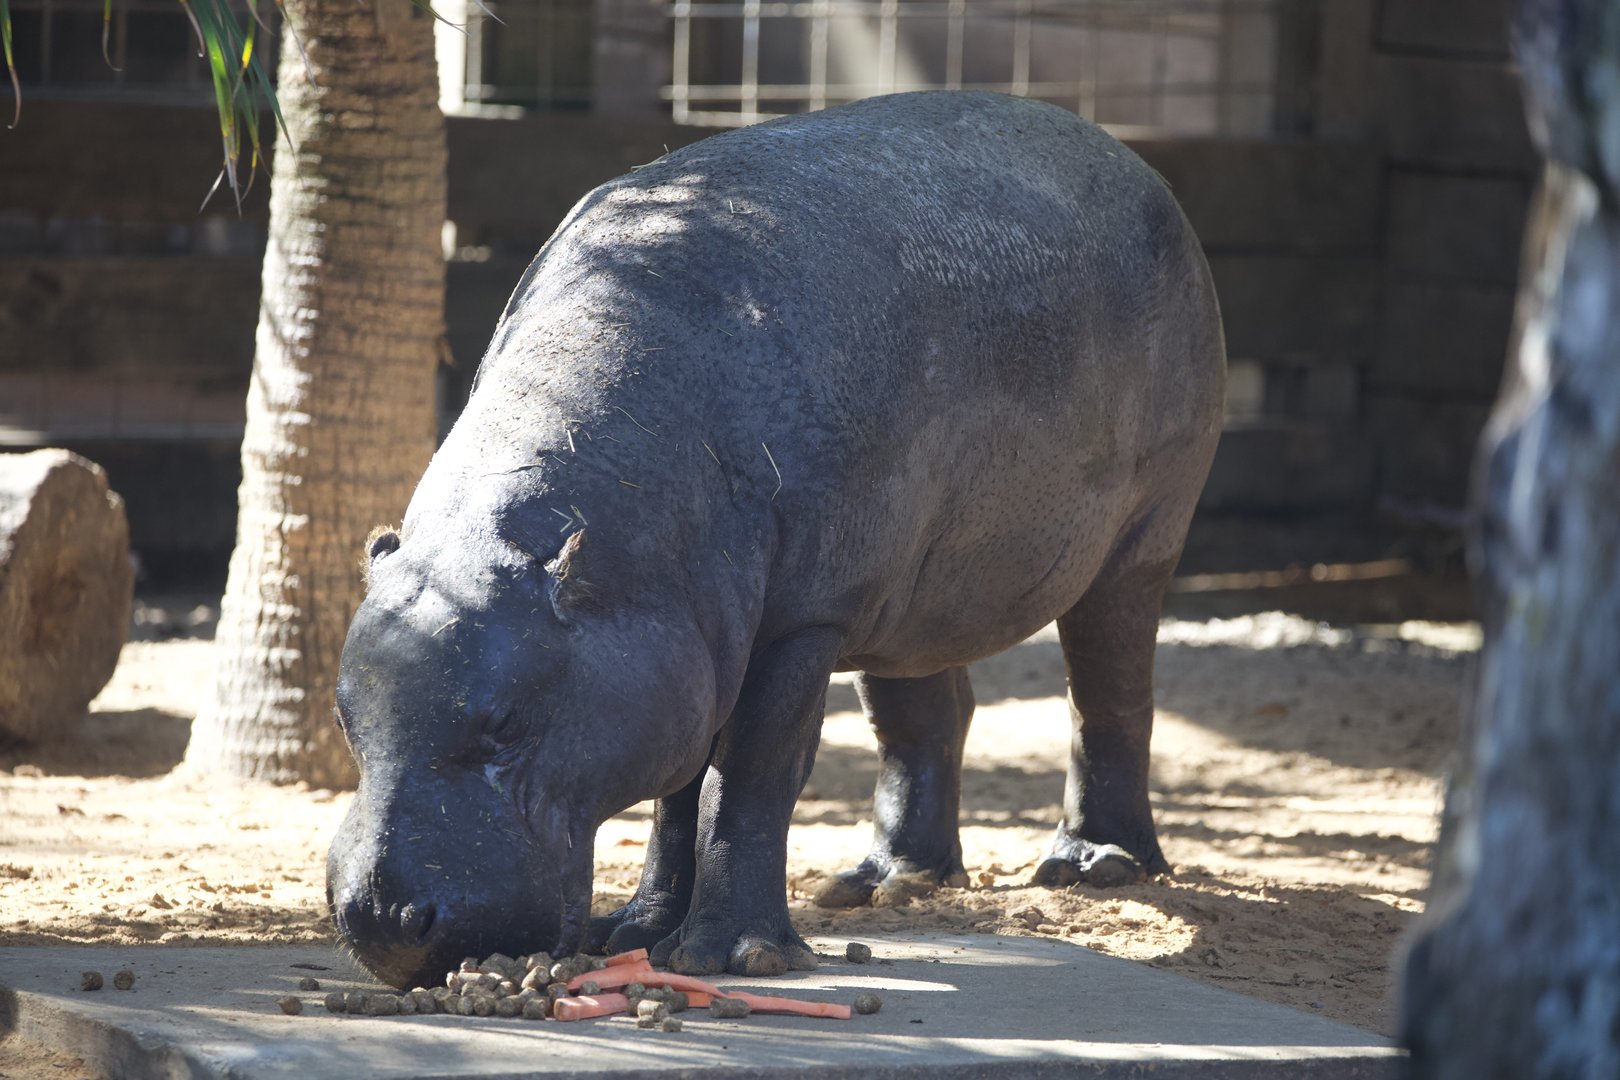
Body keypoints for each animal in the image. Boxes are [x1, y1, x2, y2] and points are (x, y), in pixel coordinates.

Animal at [328, 90, 1225, 989]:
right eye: (343, 715)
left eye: (508, 724)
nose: (379, 919)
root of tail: (1128, 158)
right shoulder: (691, 644)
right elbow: (676, 797)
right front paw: (634, 932)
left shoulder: (799, 622)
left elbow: (748, 774)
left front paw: (735, 956)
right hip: (908, 591)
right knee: (925, 711)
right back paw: (879, 884)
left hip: (1141, 534)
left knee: (1108, 685)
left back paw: (1095, 867)